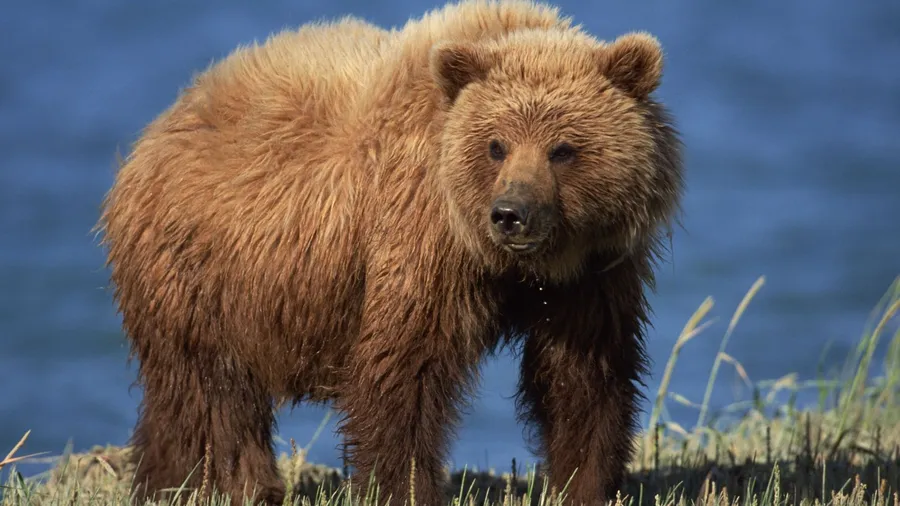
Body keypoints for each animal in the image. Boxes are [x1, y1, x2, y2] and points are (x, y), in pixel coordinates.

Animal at [97, 1, 684, 505]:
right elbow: (404, 372)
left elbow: (583, 376)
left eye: (563, 149)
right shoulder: (420, 238)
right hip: (202, 272)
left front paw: (586, 484)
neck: (511, 265)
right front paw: (404, 487)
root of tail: (156, 129)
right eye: (496, 145)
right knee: (210, 394)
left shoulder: (593, 270)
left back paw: (161, 482)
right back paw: (230, 486)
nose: (510, 213)